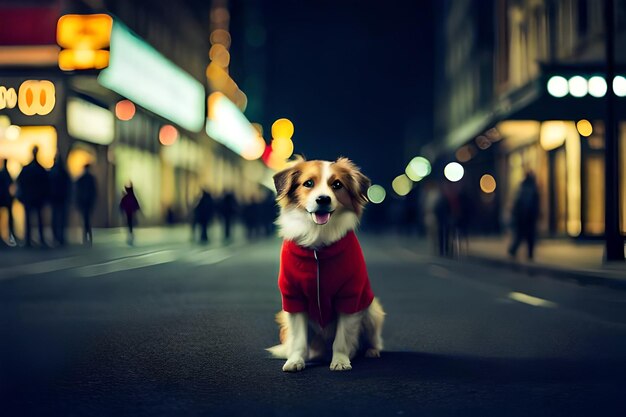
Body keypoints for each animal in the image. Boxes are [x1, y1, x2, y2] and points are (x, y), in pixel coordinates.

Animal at [268, 157, 386, 370]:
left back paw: (370, 351)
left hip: (373, 310)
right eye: (308, 183)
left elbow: (342, 337)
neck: (318, 241)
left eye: (337, 185)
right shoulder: (293, 298)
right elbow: (298, 339)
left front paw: (340, 360)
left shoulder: (350, 296)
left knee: (371, 339)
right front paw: (295, 360)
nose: (323, 199)